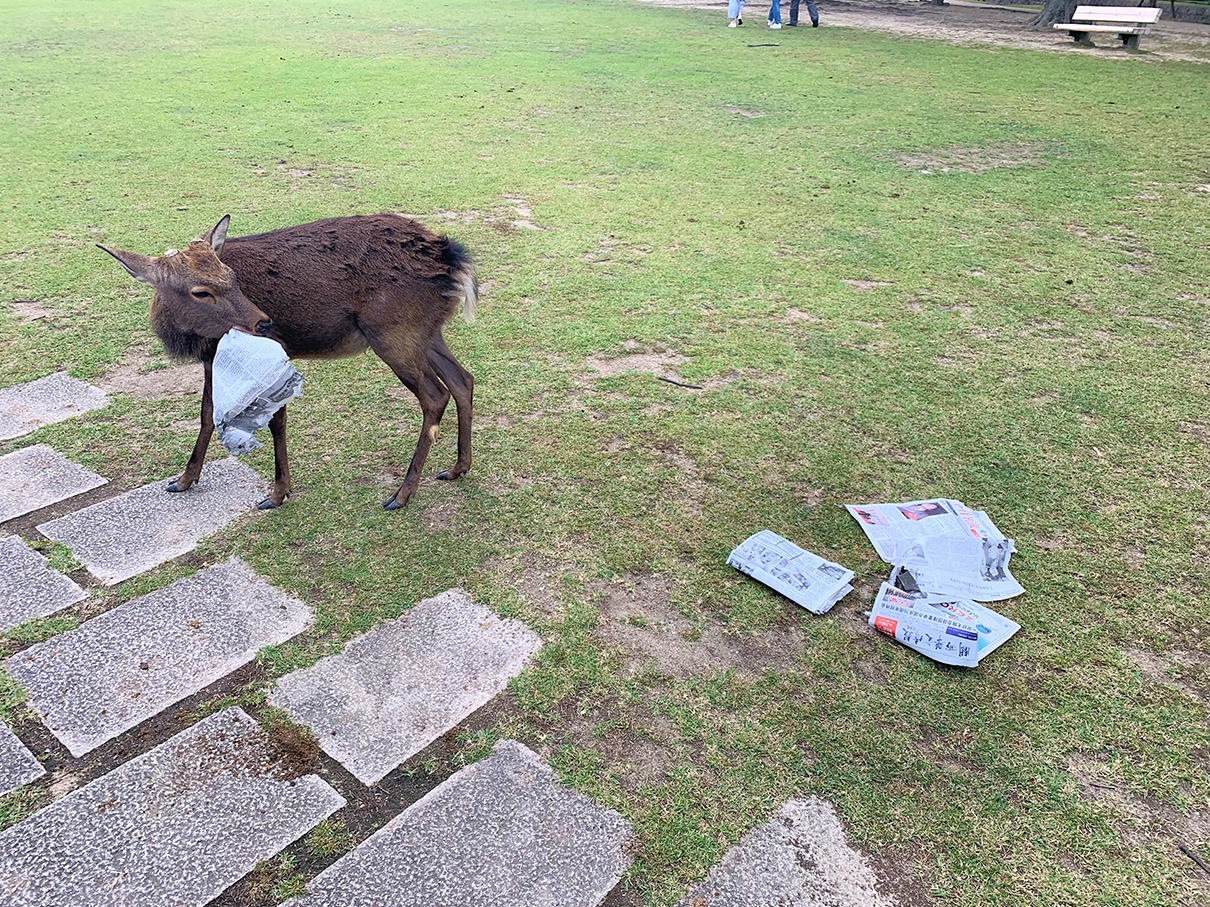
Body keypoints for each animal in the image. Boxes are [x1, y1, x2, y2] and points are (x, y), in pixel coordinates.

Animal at [98, 214, 477, 512]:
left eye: (232, 277)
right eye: (200, 291)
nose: (263, 323)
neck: (196, 340)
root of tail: (452, 259)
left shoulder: (272, 352)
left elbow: (275, 421)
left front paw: (278, 493)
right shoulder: (212, 360)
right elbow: (207, 415)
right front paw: (183, 479)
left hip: (393, 332)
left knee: (435, 395)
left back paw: (401, 494)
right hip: (427, 331)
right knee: (463, 378)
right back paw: (457, 467)